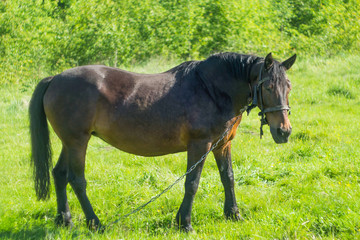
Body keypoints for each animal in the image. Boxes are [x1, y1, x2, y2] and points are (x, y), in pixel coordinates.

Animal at [30, 51, 296, 232]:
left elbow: (228, 178)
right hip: (78, 142)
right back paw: (95, 223)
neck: (211, 90)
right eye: (268, 86)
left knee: (59, 174)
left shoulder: (223, 145)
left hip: (69, 142)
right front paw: (184, 223)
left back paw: (64, 219)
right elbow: (192, 183)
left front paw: (233, 215)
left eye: (289, 86)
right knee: (77, 180)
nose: (284, 131)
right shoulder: (199, 145)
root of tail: (55, 79)